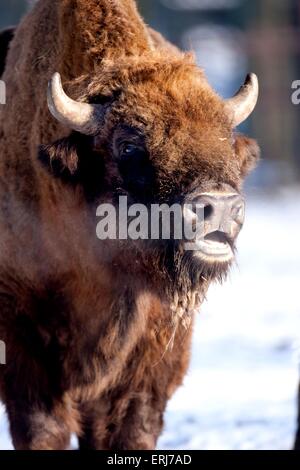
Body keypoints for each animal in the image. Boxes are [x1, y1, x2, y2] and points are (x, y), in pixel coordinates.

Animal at [0, 0, 258, 450]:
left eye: (226, 137)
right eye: (129, 144)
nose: (221, 207)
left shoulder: (153, 358)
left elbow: (130, 426)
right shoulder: (21, 342)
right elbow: (42, 427)